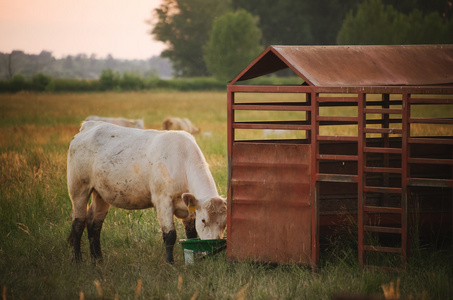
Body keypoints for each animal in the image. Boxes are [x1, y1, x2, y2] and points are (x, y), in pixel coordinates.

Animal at [67, 120, 226, 264]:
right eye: (203, 220)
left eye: (225, 223)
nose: (214, 244)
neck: (182, 160)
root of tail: (90, 125)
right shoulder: (163, 200)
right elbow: (170, 235)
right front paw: (169, 263)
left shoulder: (188, 208)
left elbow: (191, 234)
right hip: (79, 188)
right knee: (78, 221)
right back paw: (77, 260)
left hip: (101, 194)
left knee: (94, 223)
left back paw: (98, 260)